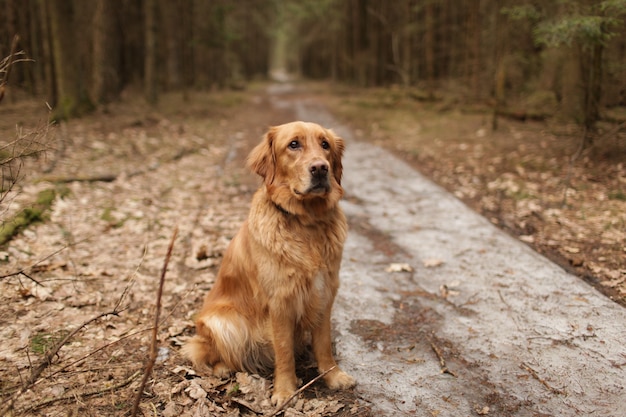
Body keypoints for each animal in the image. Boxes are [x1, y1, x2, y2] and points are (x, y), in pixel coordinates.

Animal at [183, 119, 354, 404]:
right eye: (293, 144)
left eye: (325, 145)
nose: (321, 168)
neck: (307, 223)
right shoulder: (280, 301)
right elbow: (284, 351)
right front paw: (285, 390)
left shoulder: (324, 292)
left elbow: (324, 343)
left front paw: (332, 375)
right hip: (223, 322)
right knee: (209, 351)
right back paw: (222, 368)